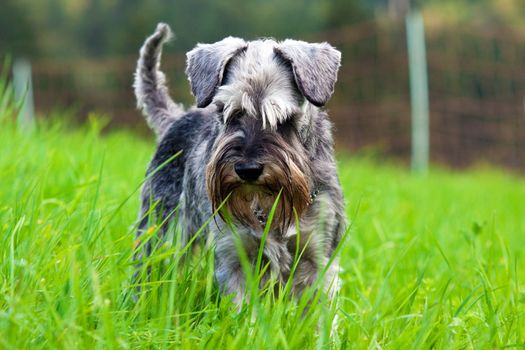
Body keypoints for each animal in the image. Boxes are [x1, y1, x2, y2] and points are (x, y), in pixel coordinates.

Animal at [133, 23, 346, 304]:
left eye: (284, 119)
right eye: (228, 112)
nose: (248, 170)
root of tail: (176, 118)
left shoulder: (317, 256)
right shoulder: (235, 257)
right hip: (160, 229)